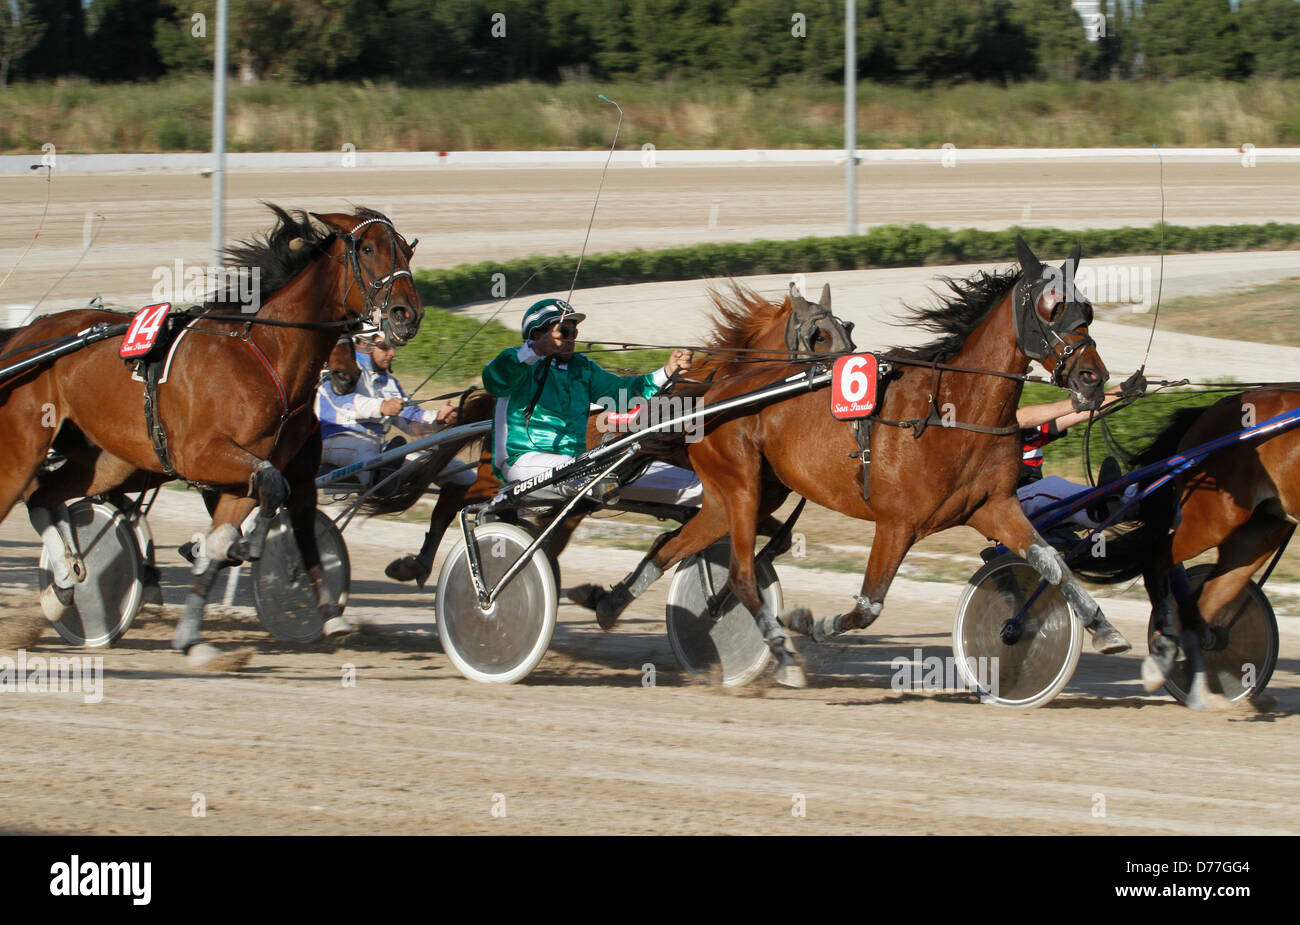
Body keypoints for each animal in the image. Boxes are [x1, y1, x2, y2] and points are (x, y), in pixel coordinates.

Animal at [1, 203, 421, 665]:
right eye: (367, 249)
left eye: (406, 250)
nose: (407, 314)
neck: (267, 354)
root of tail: (23, 336)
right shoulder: (201, 456)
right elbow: (267, 495)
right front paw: (241, 551)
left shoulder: (254, 469)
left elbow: (254, 516)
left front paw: (193, 635)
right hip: (20, 450)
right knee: (28, 492)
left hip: (105, 460)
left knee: (42, 497)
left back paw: (60, 587)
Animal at [377, 278, 852, 589]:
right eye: (818, 334)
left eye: (846, 329)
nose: (852, 367)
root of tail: (493, 405)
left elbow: (775, 533)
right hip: (504, 476)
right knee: (454, 498)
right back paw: (417, 565)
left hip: (560, 500)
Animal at [587, 239, 1128, 685]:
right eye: (1050, 306)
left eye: (1087, 307)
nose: (1092, 378)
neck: (953, 411)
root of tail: (715, 391)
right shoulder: (897, 522)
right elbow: (869, 606)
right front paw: (809, 622)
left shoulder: (993, 506)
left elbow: (1052, 562)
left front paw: (1104, 627)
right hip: (739, 484)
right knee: (740, 575)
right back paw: (782, 656)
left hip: (744, 494)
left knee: (672, 546)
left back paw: (610, 603)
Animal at [1138, 387, 1300, 711]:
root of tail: (1214, 408)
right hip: (1215, 519)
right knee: (1157, 559)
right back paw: (1163, 653)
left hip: (1256, 534)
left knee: (1204, 602)